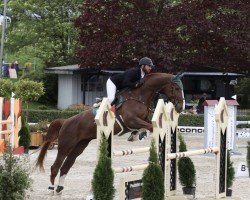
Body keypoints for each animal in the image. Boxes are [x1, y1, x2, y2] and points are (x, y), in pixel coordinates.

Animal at [35, 72, 184, 195]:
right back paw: (52, 189)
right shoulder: (131, 120)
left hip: (79, 146)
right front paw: (141, 134)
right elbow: (150, 126)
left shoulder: (142, 119)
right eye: (177, 88)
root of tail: (65, 121)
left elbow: (147, 124)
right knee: (56, 166)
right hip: (66, 145)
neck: (140, 95)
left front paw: (137, 135)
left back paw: (59, 189)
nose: (180, 108)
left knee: (66, 166)